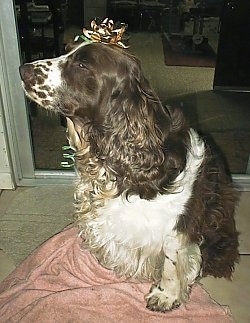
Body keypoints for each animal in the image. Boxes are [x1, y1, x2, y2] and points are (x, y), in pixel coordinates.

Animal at [19, 20, 238, 314]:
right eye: (65, 49)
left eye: (82, 65)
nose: (23, 70)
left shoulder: (176, 228)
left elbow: (172, 264)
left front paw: (166, 295)